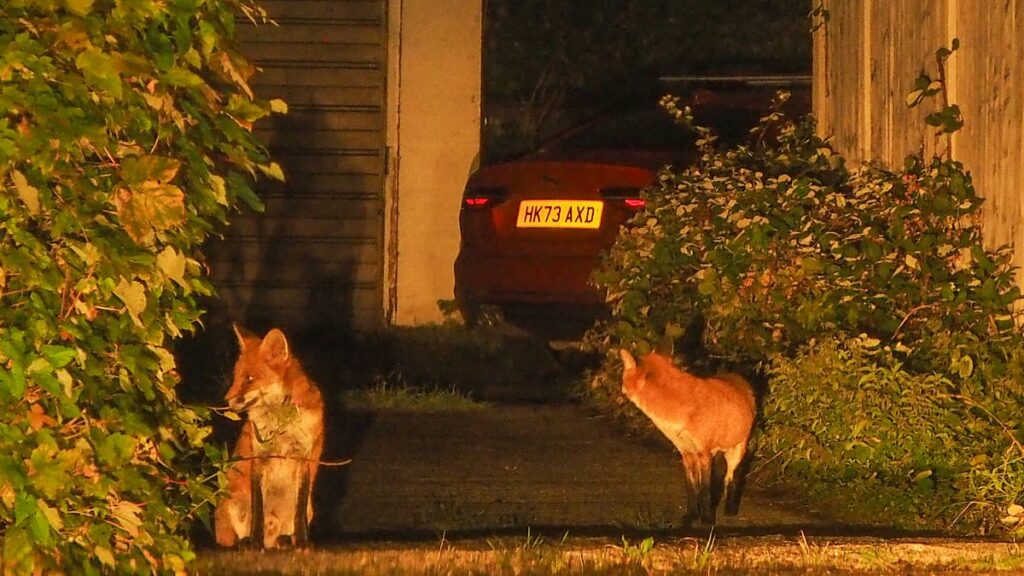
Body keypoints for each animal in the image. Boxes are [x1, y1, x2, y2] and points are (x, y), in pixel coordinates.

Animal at [214, 325, 325, 549]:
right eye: (236, 377)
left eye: (250, 379)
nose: (226, 401)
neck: (281, 423)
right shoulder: (260, 457)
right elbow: (258, 510)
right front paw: (255, 543)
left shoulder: (303, 458)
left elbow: (298, 513)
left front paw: (303, 542)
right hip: (234, 502)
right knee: (235, 537)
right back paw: (246, 542)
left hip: (309, 508)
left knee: (283, 532)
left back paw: (284, 540)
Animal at [619, 348, 755, 525]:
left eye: (624, 379)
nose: (621, 393)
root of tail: (737, 377)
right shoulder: (687, 452)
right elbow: (691, 486)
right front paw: (691, 515)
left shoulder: (703, 452)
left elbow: (704, 488)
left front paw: (707, 519)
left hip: (736, 452)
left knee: (730, 479)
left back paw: (730, 510)